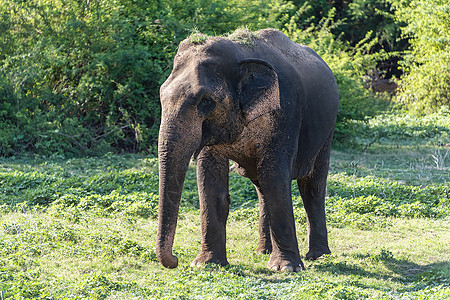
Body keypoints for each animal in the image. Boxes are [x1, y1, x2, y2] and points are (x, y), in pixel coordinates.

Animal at [156, 28, 340, 272]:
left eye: (206, 101)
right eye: (161, 95)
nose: (176, 259)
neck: (240, 54)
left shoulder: (284, 114)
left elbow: (275, 178)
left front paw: (285, 268)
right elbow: (210, 182)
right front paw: (206, 264)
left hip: (327, 130)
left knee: (311, 186)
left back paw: (317, 256)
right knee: (262, 186)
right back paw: (263, 251)